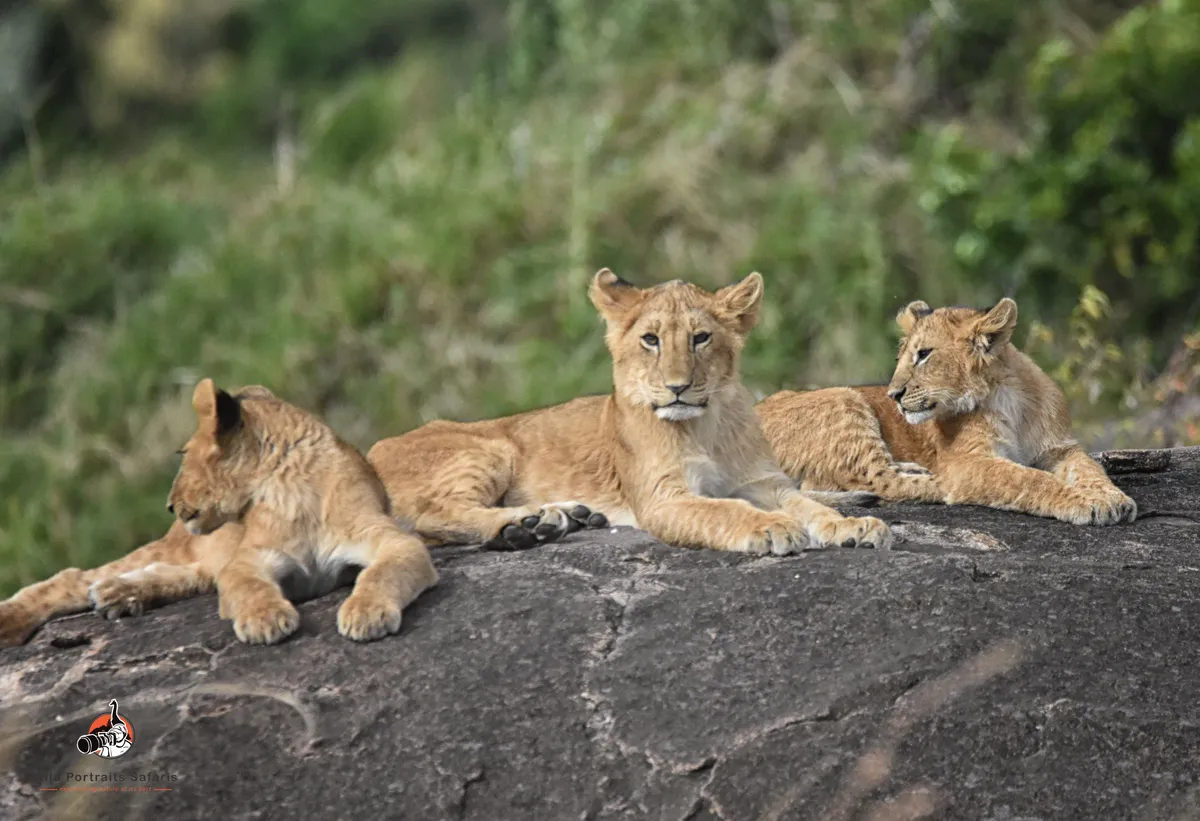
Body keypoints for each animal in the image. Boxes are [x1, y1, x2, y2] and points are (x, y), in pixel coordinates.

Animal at [0, 380, 438, 647]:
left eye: (182, 453)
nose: (169, 505)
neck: (289, 490)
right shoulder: (248, 560)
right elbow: (249, 586)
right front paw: (266, 619)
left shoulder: (394, 539)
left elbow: (383, 571)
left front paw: (366, 613)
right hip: (174, 548)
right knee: (73, 578)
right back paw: (12, 621)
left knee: (178, 577)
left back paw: (121, 594)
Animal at [367, 269, 894, 555]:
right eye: (651, 339)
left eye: (701, 338)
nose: (678, 388)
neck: (705, 425)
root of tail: (370, 453)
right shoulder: (663, 498)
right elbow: (723, 508)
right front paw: (770, 527)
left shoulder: (765, 481)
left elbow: (809, 504)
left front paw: (852, 527)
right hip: (490, 447)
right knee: (433, 515)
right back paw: (522, 528)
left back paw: (556, 519)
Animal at [756, 298, 1138, 526]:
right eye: (901, 357)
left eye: (924, 354)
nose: (893, 395)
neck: (1006, 396)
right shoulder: (969, 459)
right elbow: (1029, 478)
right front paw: (1085, 502)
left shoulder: (1059, 448)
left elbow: (1090, 469)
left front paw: (1113, 498)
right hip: (843, 398)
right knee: (874, 480)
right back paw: (937, 482)